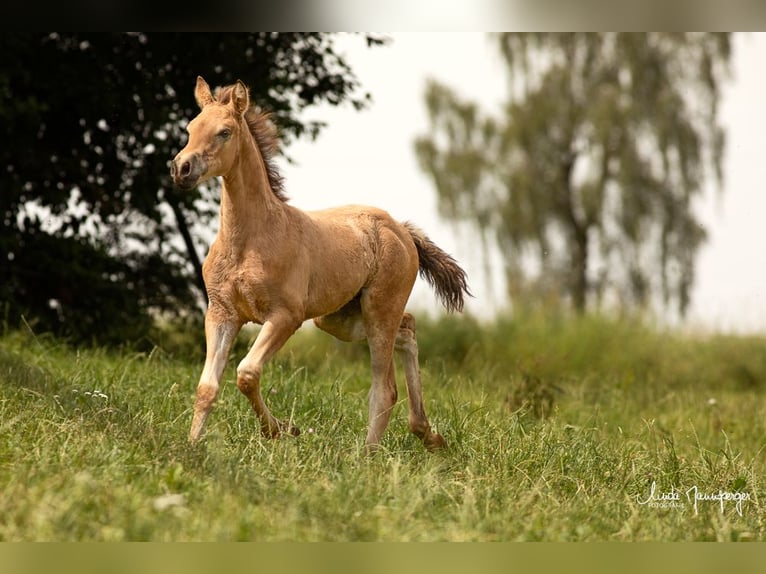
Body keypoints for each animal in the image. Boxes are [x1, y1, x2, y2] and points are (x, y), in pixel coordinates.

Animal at [171, 76, 472, 454]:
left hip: (378, 310)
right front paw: (191, 447)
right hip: (338, 319)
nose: (181, 168)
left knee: (385, 388)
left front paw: (282, 431)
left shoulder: (286, 317)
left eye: (224, 132)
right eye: (190, 128)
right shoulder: (221, 314)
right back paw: (428, 434)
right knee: (408, 329)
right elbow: (207, 387)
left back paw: (367, 455)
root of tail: (403, 230)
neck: (250, 239)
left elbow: (247, 373)